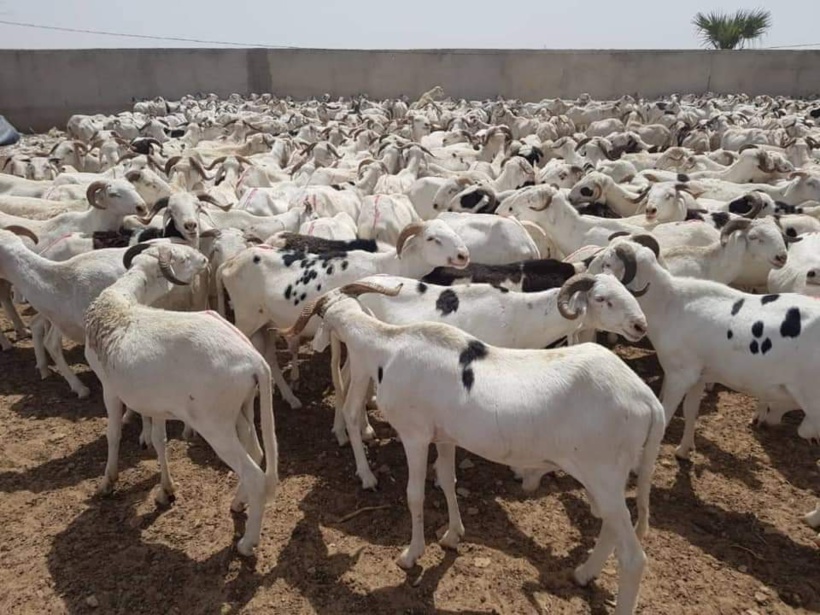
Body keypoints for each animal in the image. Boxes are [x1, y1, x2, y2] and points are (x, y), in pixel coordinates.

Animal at [85, 242, 278, 556]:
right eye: (184, 258)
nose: (204, 260)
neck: (119, 304)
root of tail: (255, 361)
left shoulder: (109, 388)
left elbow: (113, 434)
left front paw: (107, 482)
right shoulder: (156, 404)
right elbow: (159, 440)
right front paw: (165, 491)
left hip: (215, 425)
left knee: (255, 475)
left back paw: (247, 543)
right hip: (243, 411)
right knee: (258, 453)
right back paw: (239, 502)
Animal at [279, 281, 664, 615]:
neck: (387, 346)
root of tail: (647, 399)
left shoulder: (415, 435)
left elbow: (415, 495)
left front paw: (411, 554)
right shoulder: (446, 437)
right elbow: (448, 481)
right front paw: (452, 535)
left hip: (603, 473)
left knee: (633, 557)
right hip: (605, 479)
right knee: (611, 528)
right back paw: (583, 573)